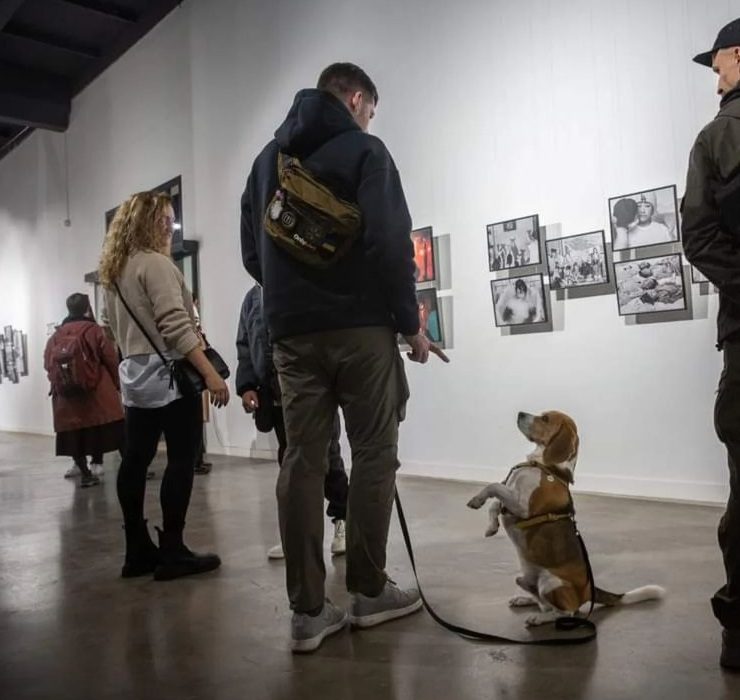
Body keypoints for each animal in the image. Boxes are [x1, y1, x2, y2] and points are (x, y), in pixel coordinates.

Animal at [466, 408, 668, 628]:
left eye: (545, 419)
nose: (520, 413)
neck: (543, 465)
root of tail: (589, 592)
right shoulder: (510, 500)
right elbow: (495, 503)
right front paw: (491, 526)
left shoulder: (523, 506)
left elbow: (494, 486)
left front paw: (477, 499)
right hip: (529, 578)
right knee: (542, 601)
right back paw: (524, 598)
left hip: (550, 582)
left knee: (566, 612)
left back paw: (539, 618)